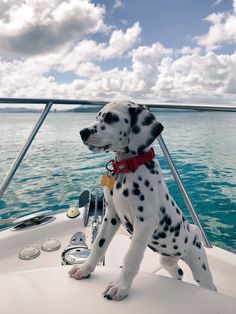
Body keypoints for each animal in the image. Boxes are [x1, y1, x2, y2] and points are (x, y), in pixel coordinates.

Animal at [69, 100, 217, 300]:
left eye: (112, 117)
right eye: (97, 116)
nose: (82, 132)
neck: (127, 168)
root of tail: (194, 231)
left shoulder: (145, 223)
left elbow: (131, 258)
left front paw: (120, 286)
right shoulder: (111, 216)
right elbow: (98, 246)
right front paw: (84, 269)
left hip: (198, 264)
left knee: (210, 285)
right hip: (167, 260)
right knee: (178, 272)